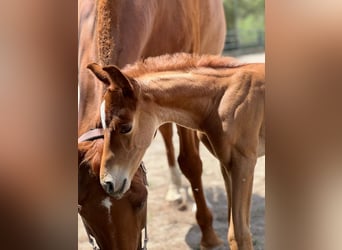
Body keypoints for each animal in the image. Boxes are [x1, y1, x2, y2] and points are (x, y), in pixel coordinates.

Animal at [87, 52, 264, 250]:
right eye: (102, 125)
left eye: (125, 127)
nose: (108, 183)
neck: (219, 99)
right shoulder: (226, 164)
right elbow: (231, 222)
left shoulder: (244, 162)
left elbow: (239, 234)